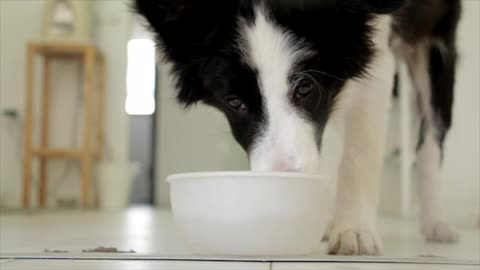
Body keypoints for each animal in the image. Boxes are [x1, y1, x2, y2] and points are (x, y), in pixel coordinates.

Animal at [134, 0, 462, 254]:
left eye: (305, 88)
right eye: (234, 102)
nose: (284, 179)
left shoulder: (373, 53)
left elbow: (360, 153)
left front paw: (354, 230)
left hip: (435, 44)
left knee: (431, 135)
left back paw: (437, 222)